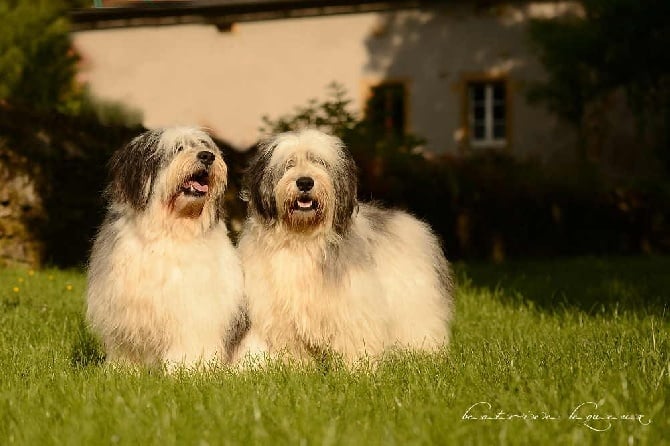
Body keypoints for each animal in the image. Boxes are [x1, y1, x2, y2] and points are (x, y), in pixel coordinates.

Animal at [86, 126, 247, 370]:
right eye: (177, 148)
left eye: (205, 146)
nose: (207, 156)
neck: (171, 229)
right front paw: (123, 371)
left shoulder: (193, 311)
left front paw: (185, 371)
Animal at [238, 128, 456, 362]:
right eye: (289, 164)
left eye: (320, 163)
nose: (305, 182)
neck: (303, 239)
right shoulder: (282, 315)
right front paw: (299, 368)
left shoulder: (353, 307)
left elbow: (355, 342)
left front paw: (358, 368)